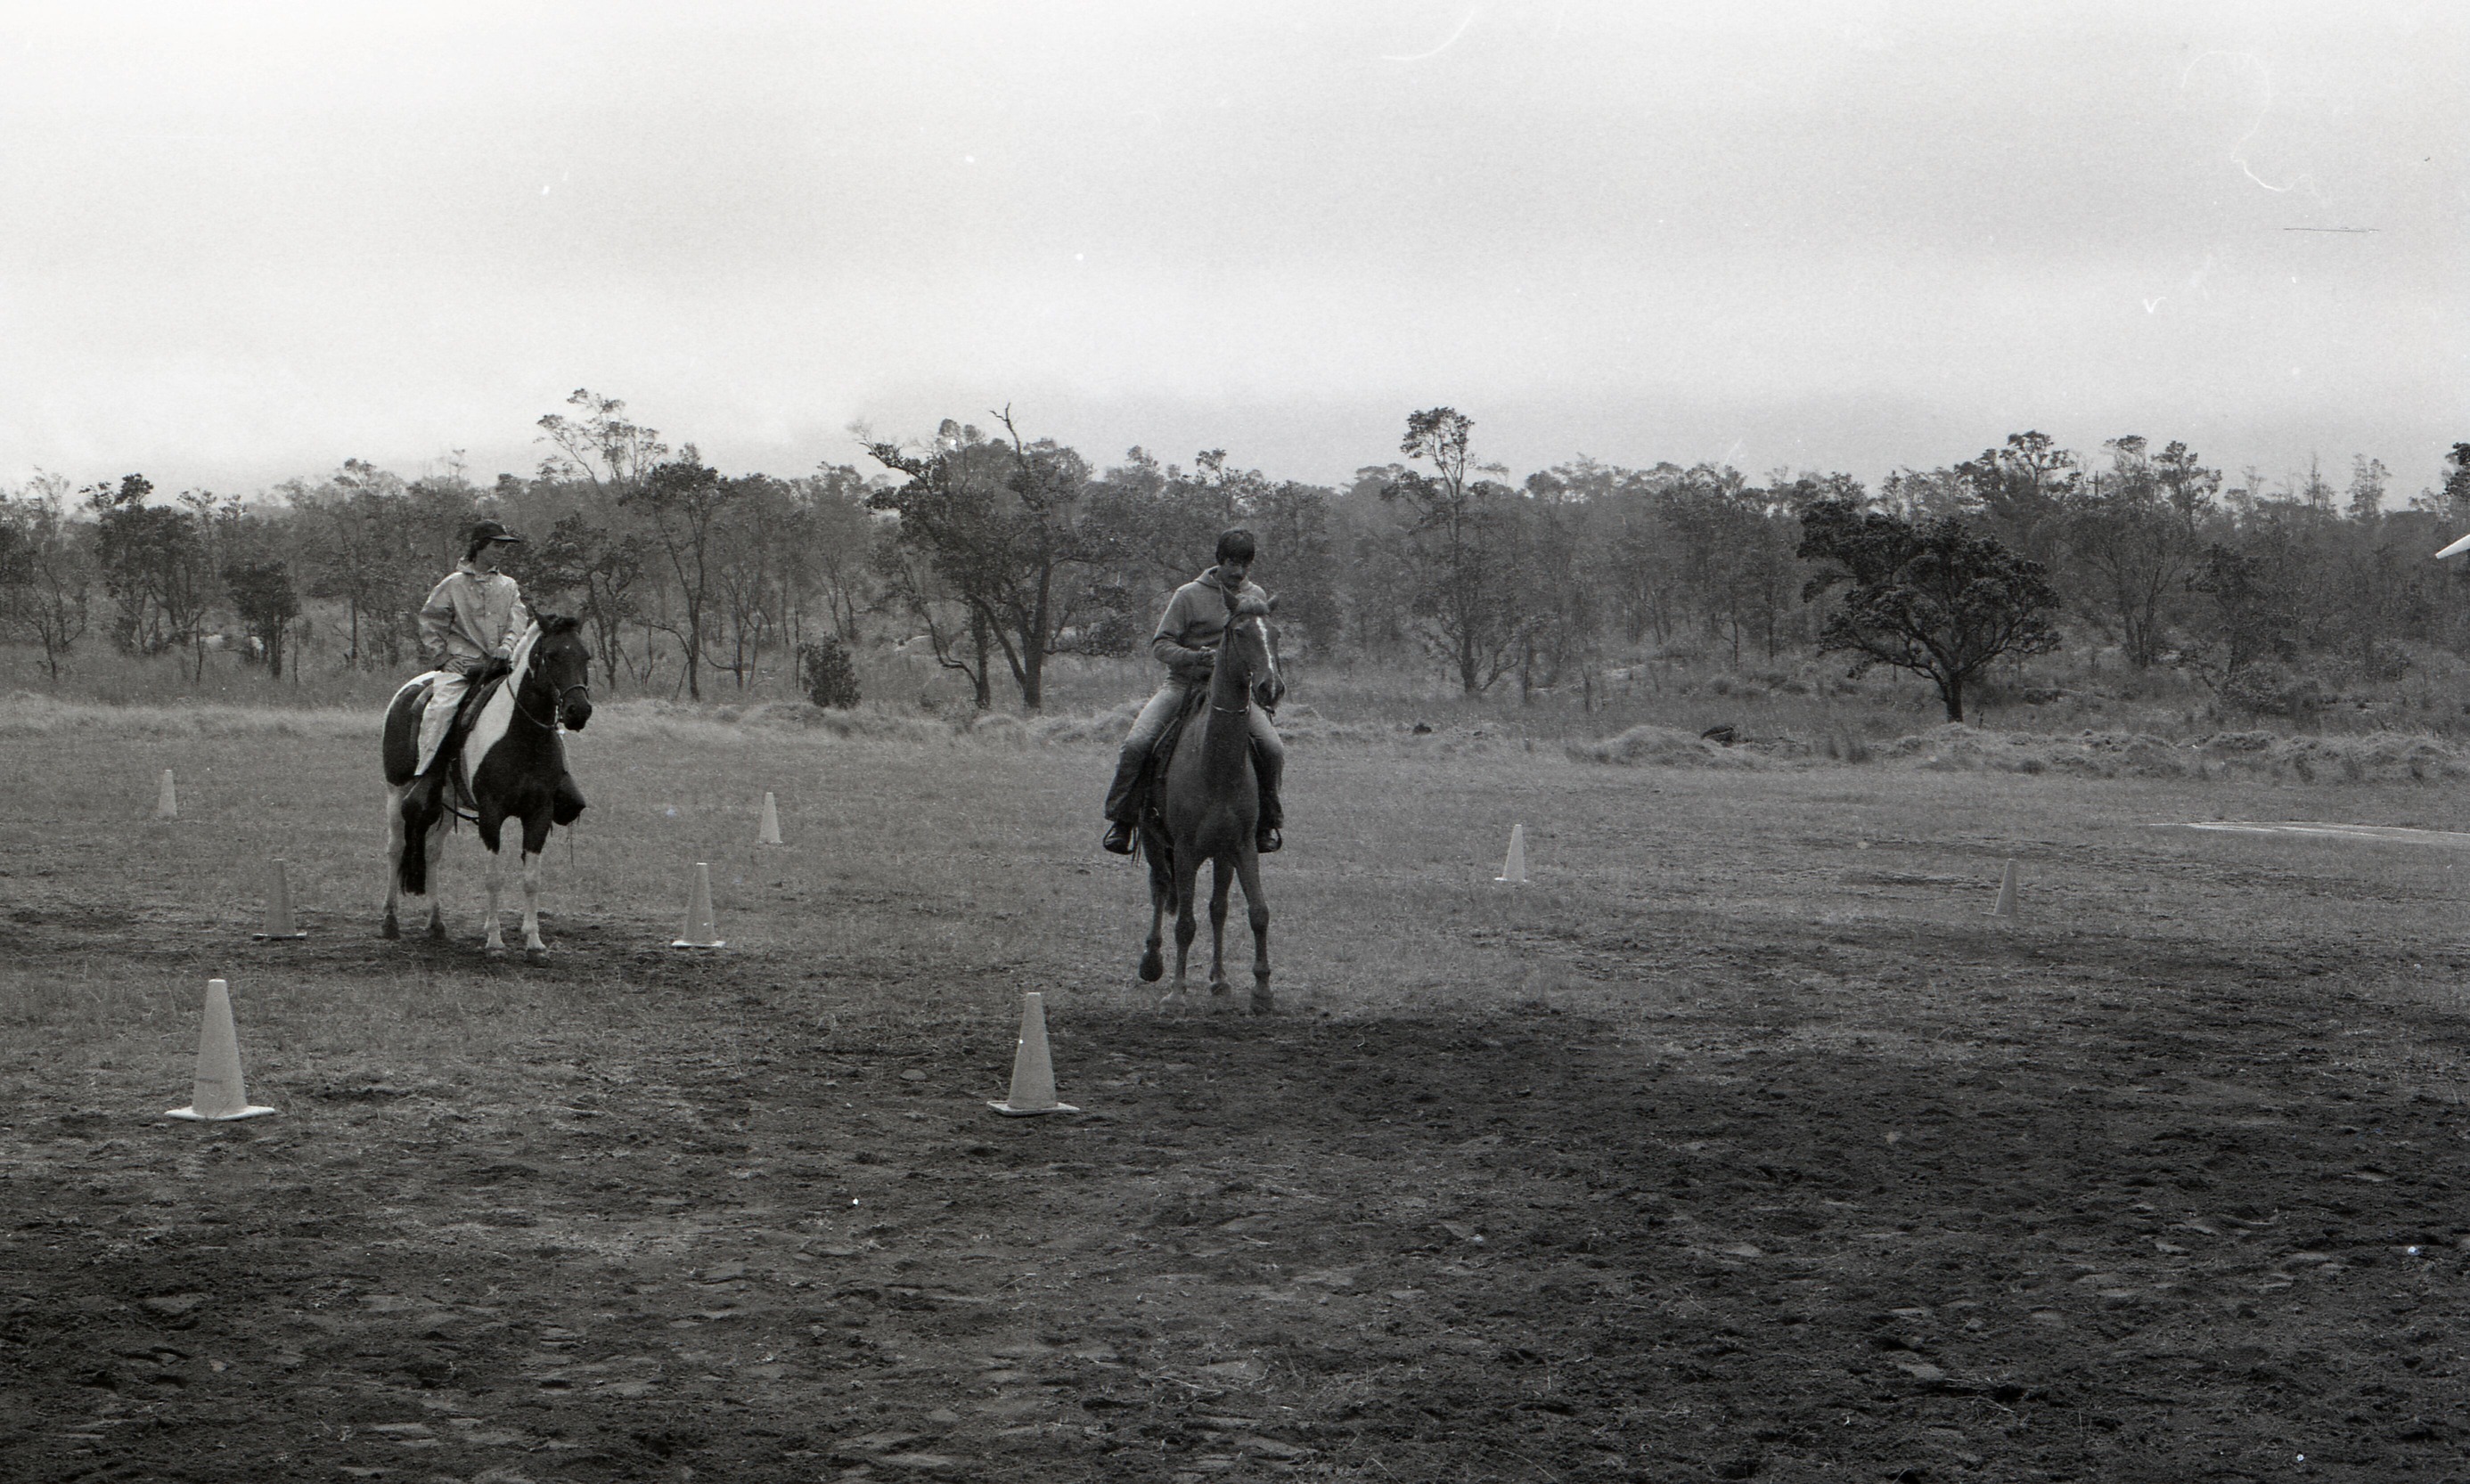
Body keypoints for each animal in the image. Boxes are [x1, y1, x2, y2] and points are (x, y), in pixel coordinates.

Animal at [380, 615, 594, 956]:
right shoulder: (492, 814)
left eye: (585, 657)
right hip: (395, 792)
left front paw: (534, 940)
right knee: (395, 848)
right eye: (552, 656)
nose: (579, 711)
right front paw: (494, 940)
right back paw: (390, 921)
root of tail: (409, 690)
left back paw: (436, 923)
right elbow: (493, 878)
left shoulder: (539, 813)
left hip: (446, 802)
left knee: (432, 851)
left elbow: (531, 878)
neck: (522, 738)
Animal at [1138, 598, 1284, 1012]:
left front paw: (1262, 990)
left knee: (1217, 909)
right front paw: (1176, 992)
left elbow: (1257, 913)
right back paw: (1151, 962)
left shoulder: (1242, 846)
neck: (1215, 765)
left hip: (1221, 854)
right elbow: (1185, 923)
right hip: (1155, 841)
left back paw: (1219, 980)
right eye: (1239, 632)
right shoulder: (1186, 850)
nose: (1271, 687)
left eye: (1275, 633)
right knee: (1160, 888)